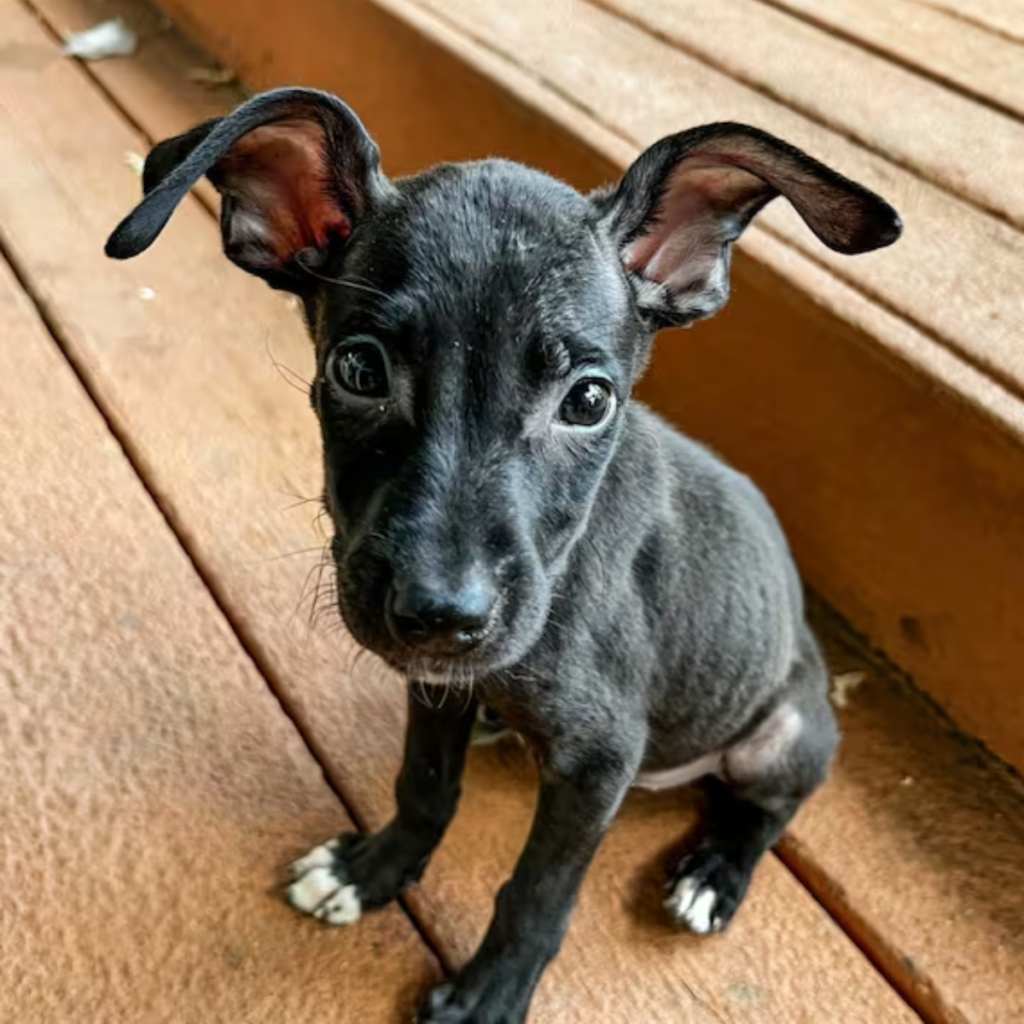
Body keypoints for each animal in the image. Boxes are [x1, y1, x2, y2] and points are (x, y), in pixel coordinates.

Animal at [108, 90, 901, 1024]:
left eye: (588, 399)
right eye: (358, 368)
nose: (439, 616)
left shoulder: (597, 760)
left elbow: (537, 892)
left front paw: (490, 993)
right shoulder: (435, 690)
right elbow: (423, 787)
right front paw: (371, 872)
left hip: (782, 735)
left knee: (769, 808)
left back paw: (715, 872)